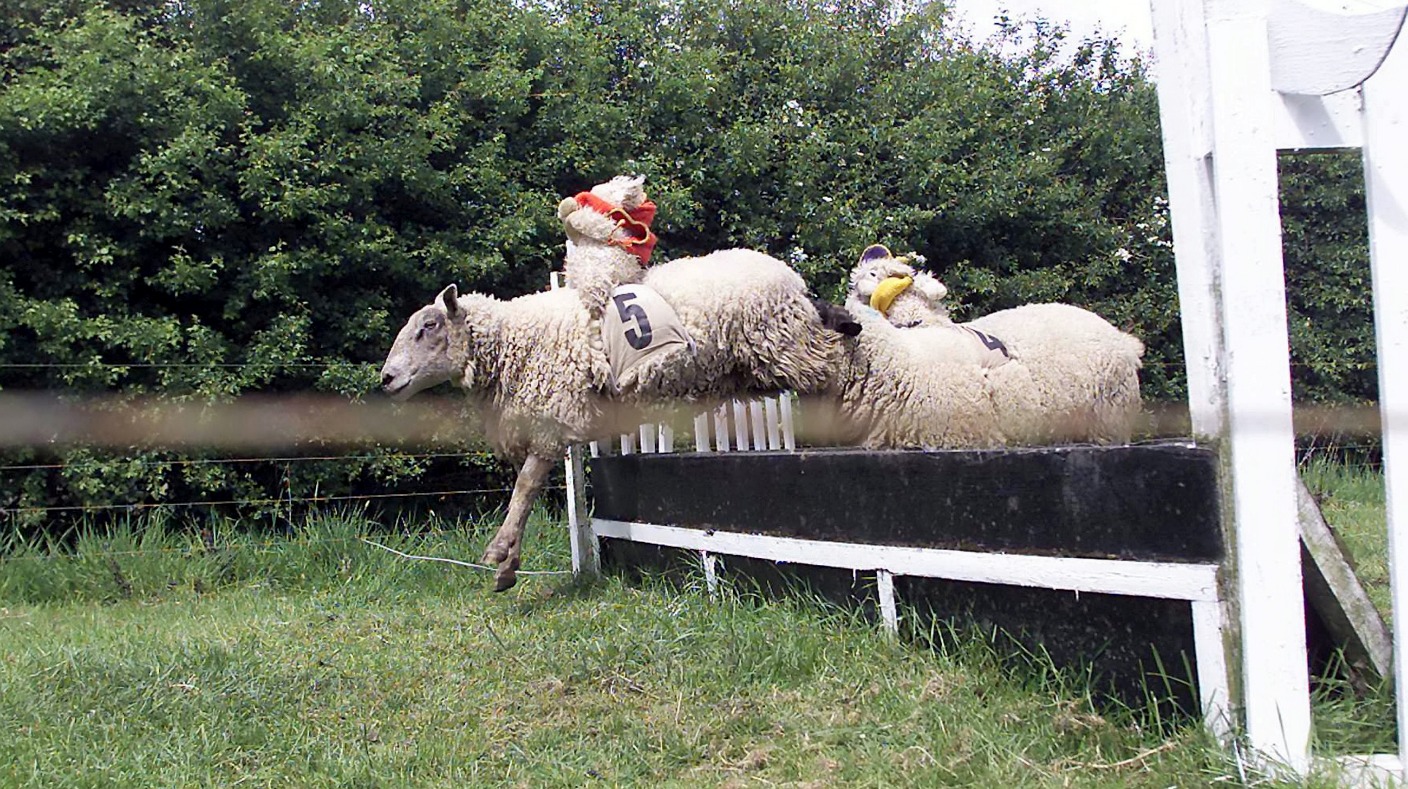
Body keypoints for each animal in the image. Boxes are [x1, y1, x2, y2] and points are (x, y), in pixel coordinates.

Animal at [380, 250, 845, 591]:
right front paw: (507, 567)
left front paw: (499, 554)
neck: (516, 338)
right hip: (766, 360)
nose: (386, 379)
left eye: (428, 326)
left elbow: (524, 489)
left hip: (786, 344)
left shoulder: (553, 418)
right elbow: (525, 493)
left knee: (841, 366)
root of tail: (790, 276)